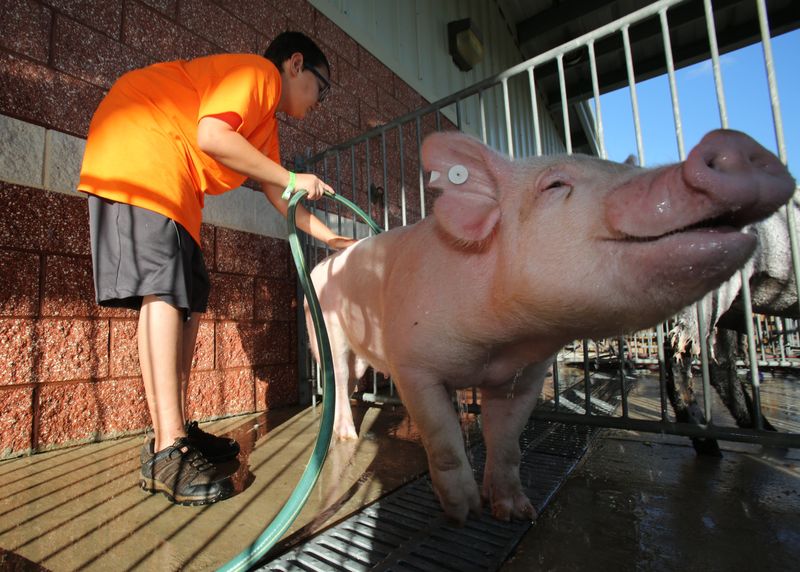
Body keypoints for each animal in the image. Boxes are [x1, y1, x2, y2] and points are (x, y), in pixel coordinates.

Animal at [306, 129, 795, 524]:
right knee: (338, 379)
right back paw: (346, 436)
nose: (732, 142)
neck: (500, 343)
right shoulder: (414, 364)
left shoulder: (524, 376)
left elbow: (507, 444)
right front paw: (463, 513)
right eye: (555, 185)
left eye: (624, 168)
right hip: (326, 331)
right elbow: (442, 441)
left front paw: (515, 513)